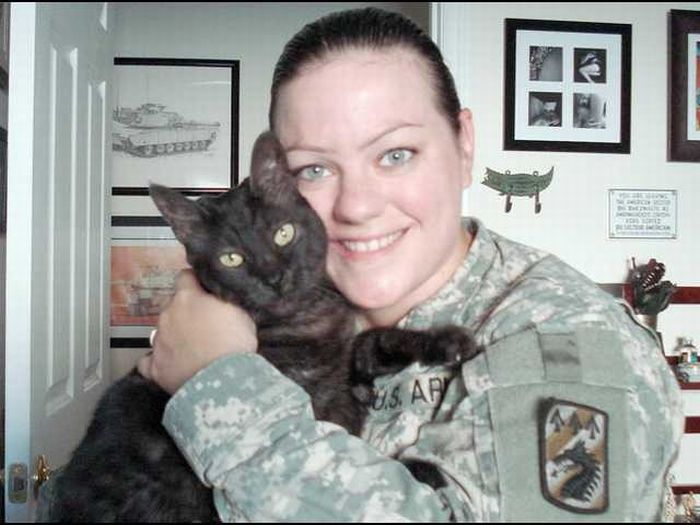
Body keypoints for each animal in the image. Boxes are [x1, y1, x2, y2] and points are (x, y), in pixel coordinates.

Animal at [43, 131, 480, 522]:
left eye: (283, 233)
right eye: (231, 258)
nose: (273, 277)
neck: (306, 323)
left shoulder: (344, 364)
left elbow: (374, 340)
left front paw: (446, 342)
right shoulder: (317, 413)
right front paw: (422, 470)